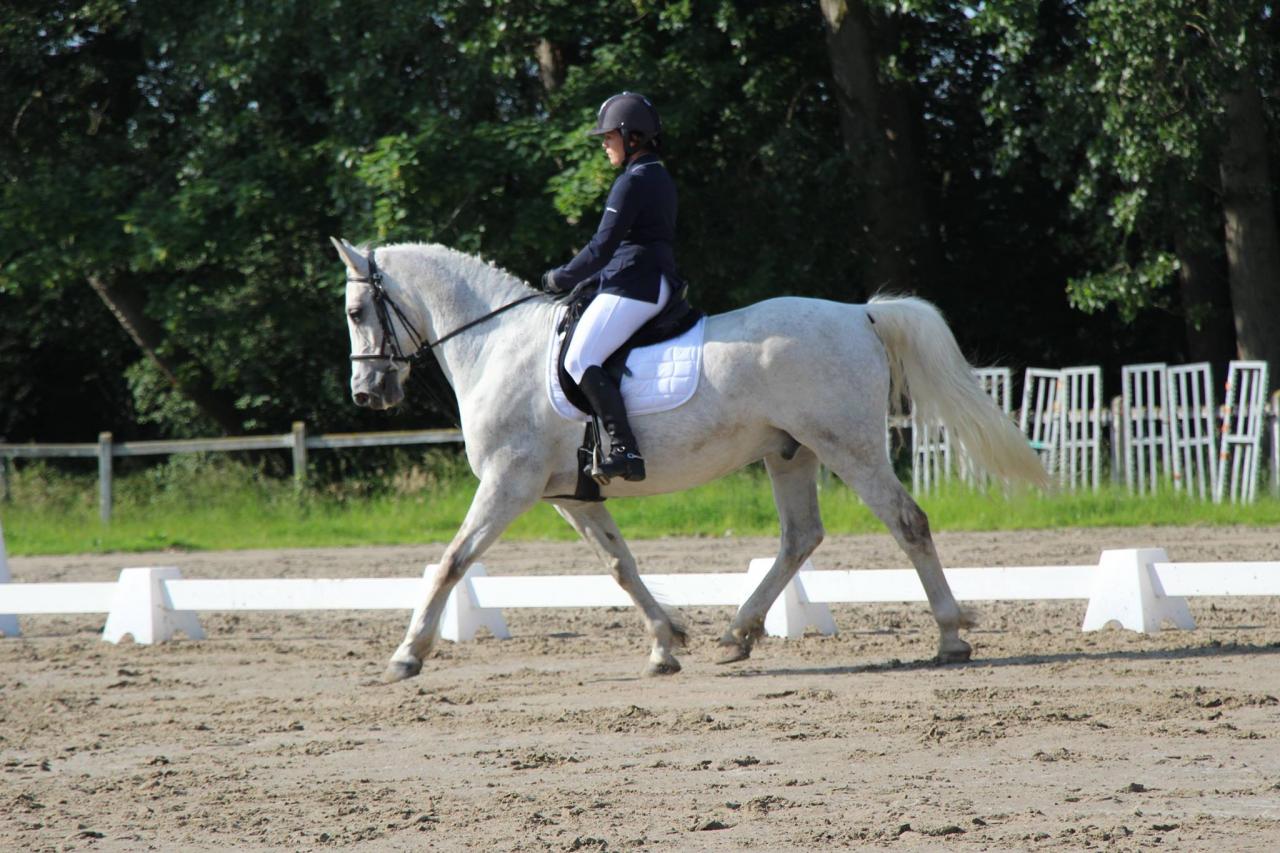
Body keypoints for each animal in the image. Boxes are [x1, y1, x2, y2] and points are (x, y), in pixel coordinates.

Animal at [332, 235, 1049, 681]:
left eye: (357, 308)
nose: (367, 393)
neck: (494, 344)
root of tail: (861, 314)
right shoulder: (569, 496)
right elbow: (620, 566)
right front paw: (666, 645)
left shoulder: (510, 482)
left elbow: (452, 562)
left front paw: (406, 655)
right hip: (791, 452)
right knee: (800, 537)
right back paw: (739, 634)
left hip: (850, 445)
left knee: (907, 523)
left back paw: (951, 637)